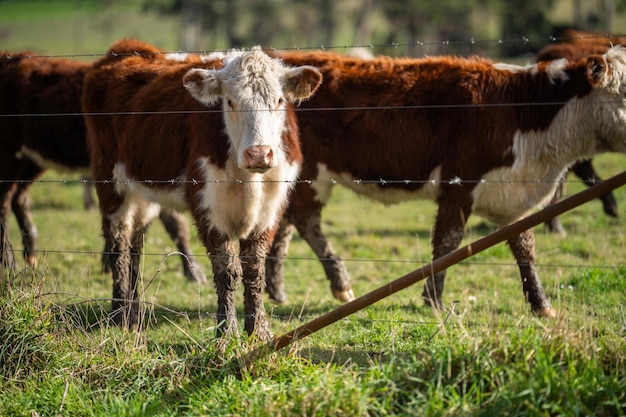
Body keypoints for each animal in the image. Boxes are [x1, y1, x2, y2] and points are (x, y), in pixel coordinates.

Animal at [0, 48, 207, 282]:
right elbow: (174, 223)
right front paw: (193, 271)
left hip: (32, 159)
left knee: (18, 198)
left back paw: (31, 253)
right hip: (9, 153)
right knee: (4, 201)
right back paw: (9, 262)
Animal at [81, 39, 322, 338]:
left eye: (278, 100)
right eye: (230, 101)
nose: (258, 154)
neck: (248, 180)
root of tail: (125, 48)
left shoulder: (271, 206)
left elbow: (254, 268)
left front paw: (259, 329)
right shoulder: (207, 206)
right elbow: (227, 269)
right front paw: (226, 332)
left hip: (142, 189)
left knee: (136, 241)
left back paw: (134, 312)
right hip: (110, 182)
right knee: (118, 244)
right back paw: (119, 314)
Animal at [264, 46, 626, 318]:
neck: (525, 113)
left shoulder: (514, 195)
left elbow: (525, 248)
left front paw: (541, 304)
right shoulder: (459, 186)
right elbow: (447, 243)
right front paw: (434, 298)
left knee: (285, 224)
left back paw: (277, 290)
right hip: (312, 174)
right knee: (305, 220)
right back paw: (339, 283)